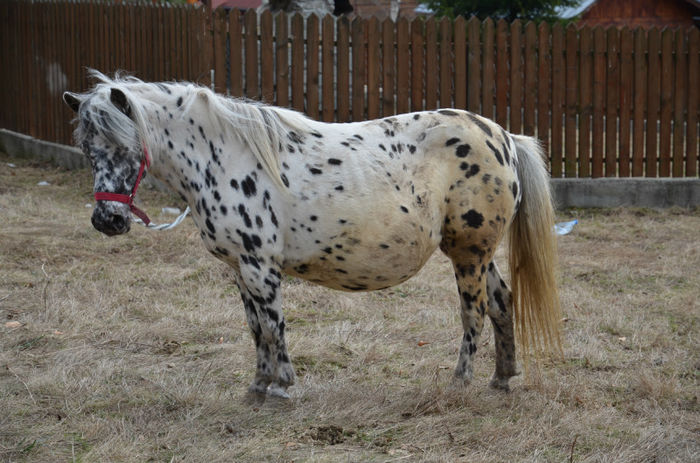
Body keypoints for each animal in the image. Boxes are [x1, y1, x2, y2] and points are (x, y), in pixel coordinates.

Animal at [63, 72, 560, 398]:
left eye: (127, 144)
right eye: (87, 147)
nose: (107, 220)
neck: (225, 156)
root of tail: (504, 137)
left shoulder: (260, 267)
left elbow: (273, 325)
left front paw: (282, 388)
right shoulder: (240, 270)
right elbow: (254, 328)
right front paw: (258, 386)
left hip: (469, 254)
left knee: (473, 313)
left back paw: (460, 383)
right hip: (475, 254)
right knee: (501, 302)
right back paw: (502, 378)